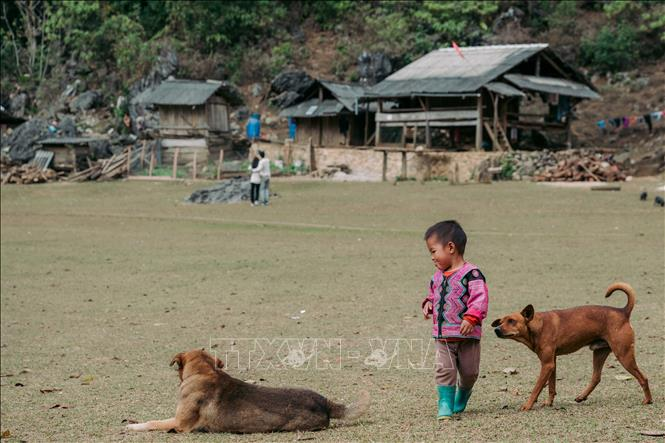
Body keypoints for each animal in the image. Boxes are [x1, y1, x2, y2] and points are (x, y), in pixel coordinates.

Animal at [490, 282, 652, 412]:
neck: (536, 326)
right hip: (599, 353)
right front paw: (549, 403)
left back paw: (648, 400)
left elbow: (537, 388)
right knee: (596, 377)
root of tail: (623, 311)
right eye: (501, 322)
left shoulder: (547, 364)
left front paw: (527, 405)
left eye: (512, 321)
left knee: (643, 378)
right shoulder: (552, 363)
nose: (496, 330)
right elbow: (551, 387)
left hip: (624, 355)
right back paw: (582, 396)